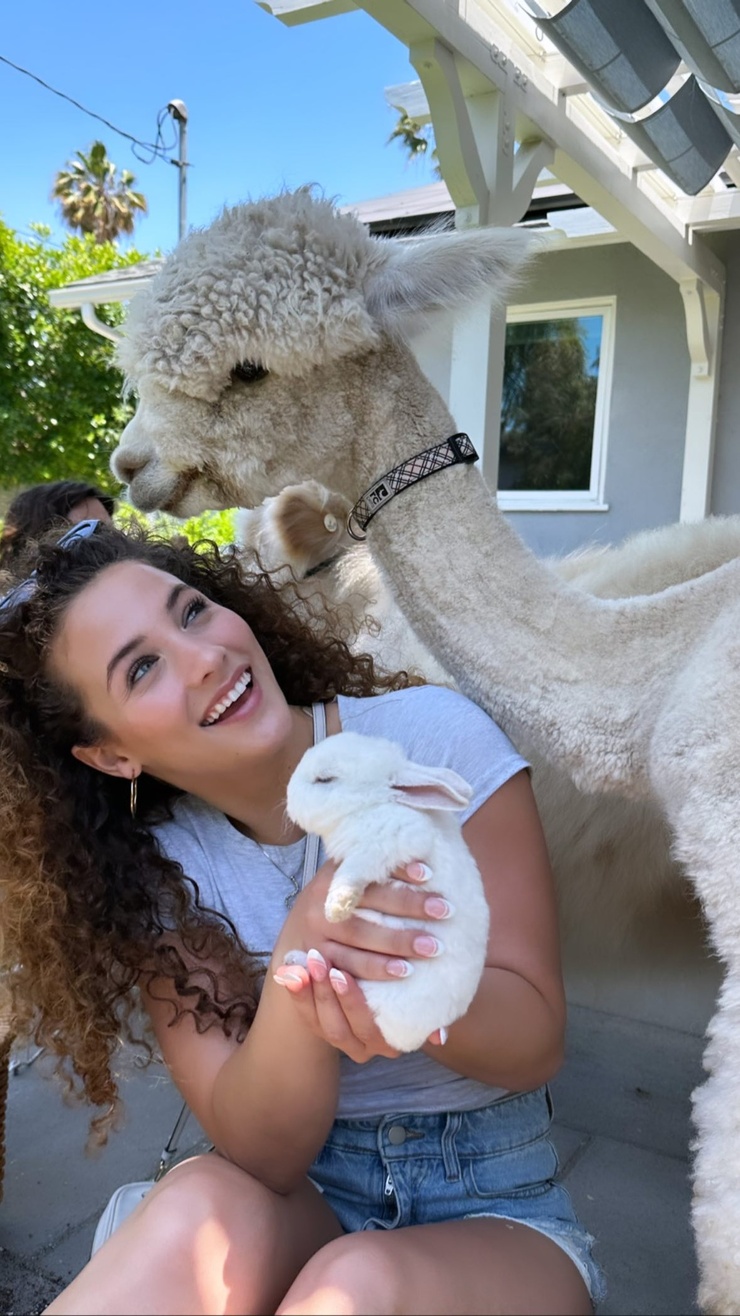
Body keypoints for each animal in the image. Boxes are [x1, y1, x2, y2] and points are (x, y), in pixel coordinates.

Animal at [283, 731, 489, 1047]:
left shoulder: (391, 841)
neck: (370, 805)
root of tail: (421, 1034)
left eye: (325, 779)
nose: (288, 796)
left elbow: (353, 871)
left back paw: (300, 960)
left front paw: (336, 908)